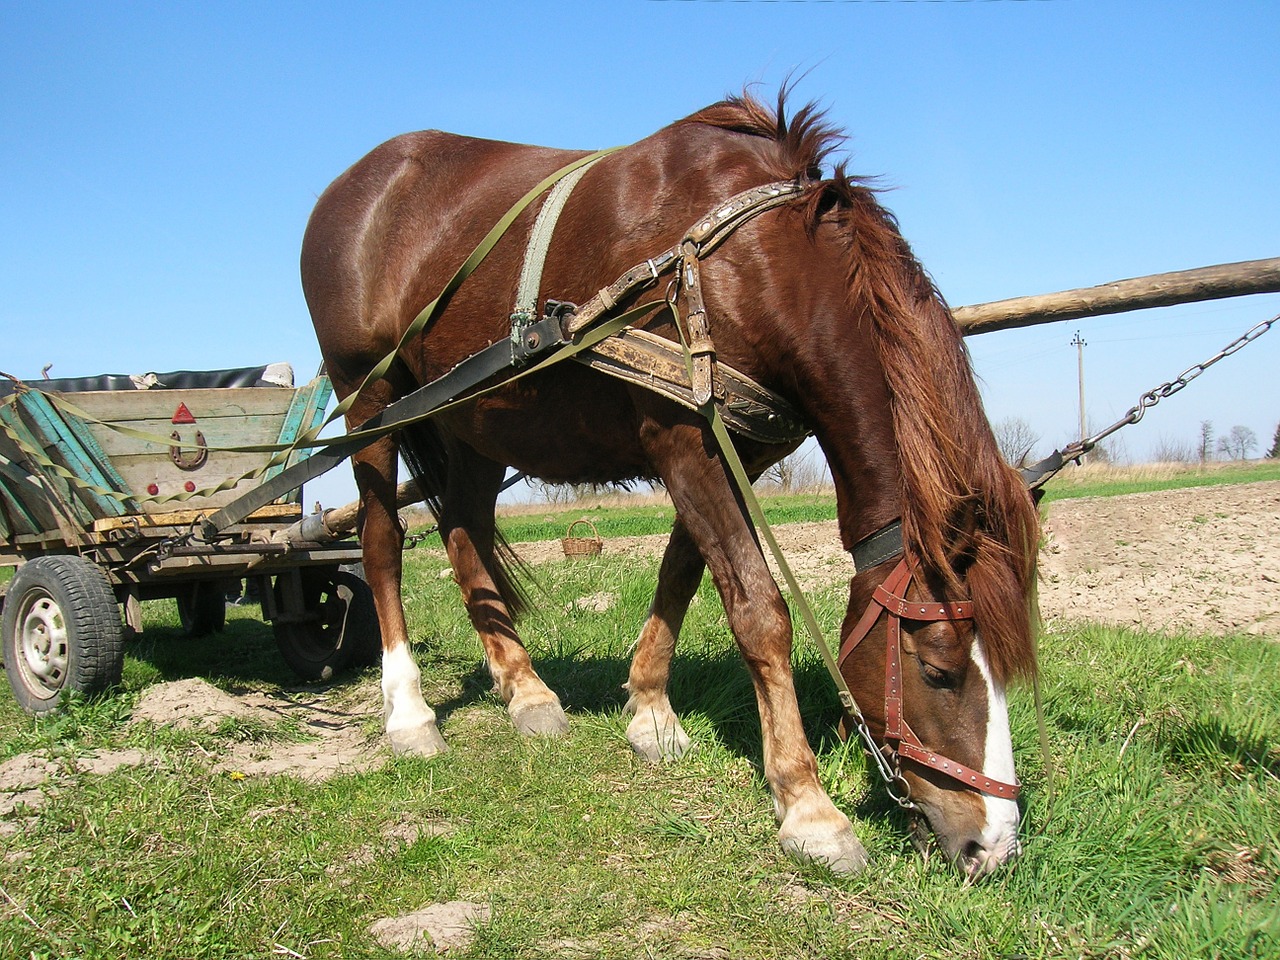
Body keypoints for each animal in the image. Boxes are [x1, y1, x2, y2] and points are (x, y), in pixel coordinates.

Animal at [299, 92, 1039, 880]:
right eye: (938, 671)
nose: (994, 846)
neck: (741, 262)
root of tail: (357, 183)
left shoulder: (733, 444)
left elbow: (682, 572)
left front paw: (651, 709)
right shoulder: (681, 439)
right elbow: (758, 610)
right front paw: (808, 807)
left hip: (471, 420)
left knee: (464, 528)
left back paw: (524, 688)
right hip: (368, 403)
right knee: (383, 542)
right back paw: (408, 712)